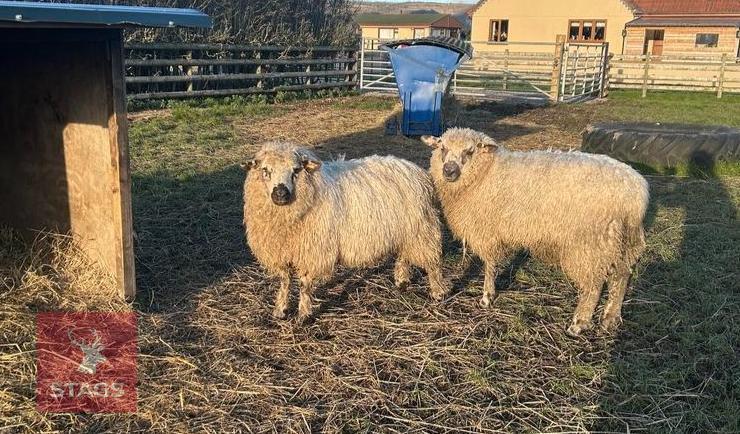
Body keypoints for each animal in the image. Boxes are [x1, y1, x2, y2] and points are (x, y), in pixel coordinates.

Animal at [243, 141, 448, 322]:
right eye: (265, 171)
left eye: (296, 170)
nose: (281, 193)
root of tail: (416, 169)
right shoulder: (281, 252)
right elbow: (284, 281)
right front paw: (280, 310)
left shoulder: (312, 251)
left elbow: (304, 284)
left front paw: (304, 315)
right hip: (406, 230)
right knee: (403, 255)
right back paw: (402, 282)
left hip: (422, 228)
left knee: (432, 262)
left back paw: (438, 292)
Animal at [422, 128, 649, 336]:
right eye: (442, 148)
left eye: (469, 151)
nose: (449, 171)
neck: (486, 172)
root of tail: (636, 193)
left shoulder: (487, 229)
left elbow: (489, 264)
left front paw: (487, 296)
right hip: (622, 240)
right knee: (622, 275)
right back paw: (610, 317)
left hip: (591, 242)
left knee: (594, 284)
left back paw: (579, 323)